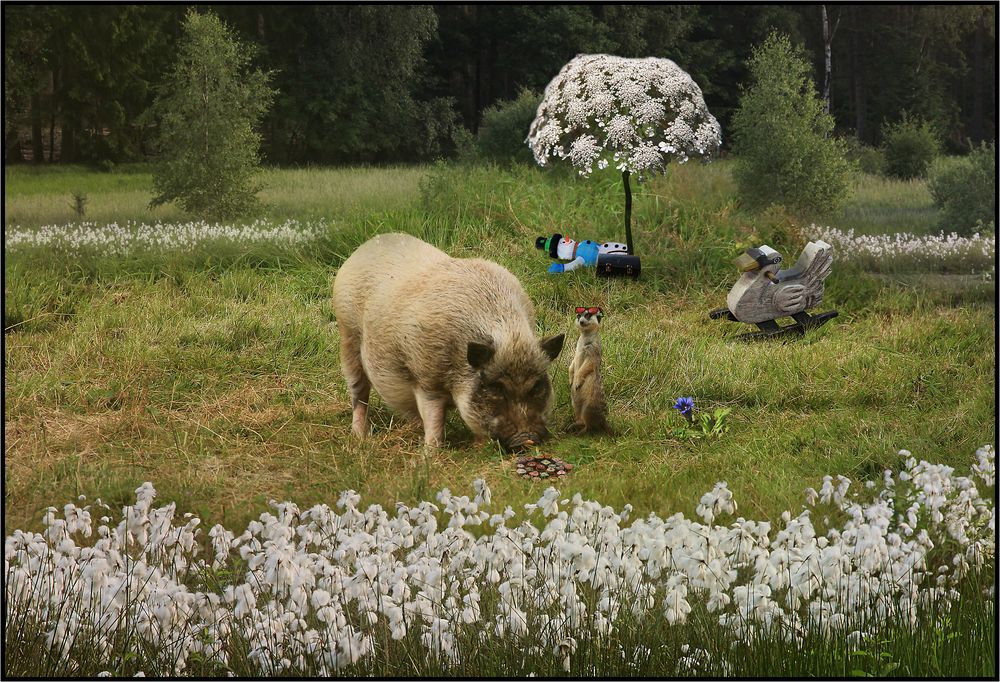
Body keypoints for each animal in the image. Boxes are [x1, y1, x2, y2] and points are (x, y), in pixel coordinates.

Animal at [330, 231, 560, 448]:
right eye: (496, 387)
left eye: (537, 386)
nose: (526, 439)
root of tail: (363, 248)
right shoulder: (425, 379)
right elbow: (434, 418)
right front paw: (430, 452)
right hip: (347, 336)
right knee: (359, 392)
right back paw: (360, 437)